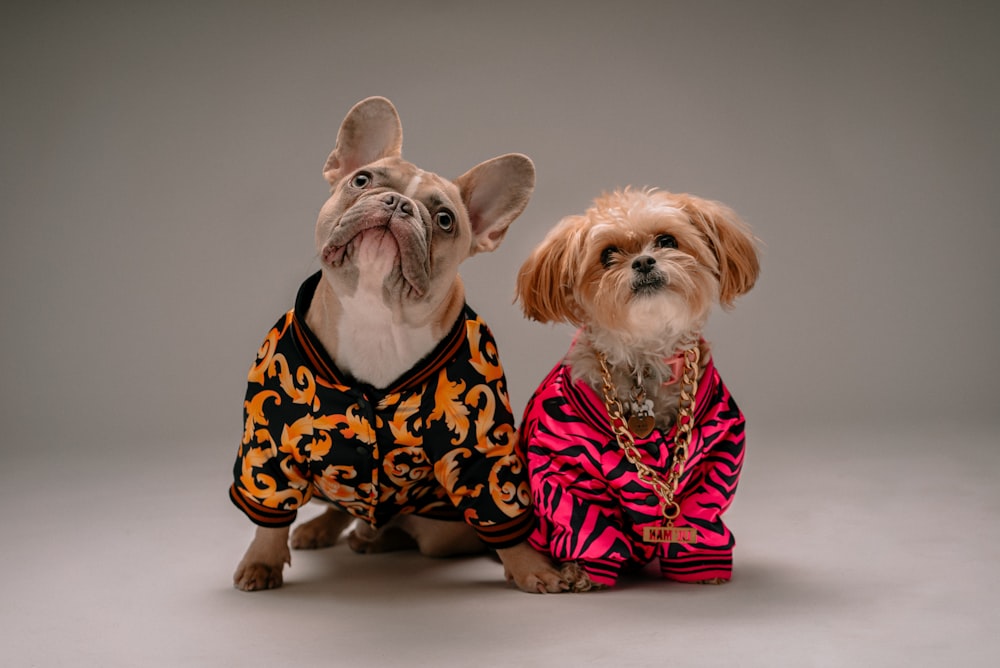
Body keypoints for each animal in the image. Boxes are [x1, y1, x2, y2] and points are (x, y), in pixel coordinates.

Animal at [229, 95, 568, 596]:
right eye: (362, 180)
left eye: (445, 220)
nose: (397, 203)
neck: (376, 313)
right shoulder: (268, 442)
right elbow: (268, 510)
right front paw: (261, 562)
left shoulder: (482, 453)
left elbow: (502, 510)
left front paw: (533, 568)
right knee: (338, 505)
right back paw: (323, 528)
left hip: (440, 530)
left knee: (408, 531)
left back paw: (372, 538)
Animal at [516, 187, 756, 588]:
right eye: (607, 254)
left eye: (667, 241)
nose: (643, 262)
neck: (644, 358)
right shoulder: (567, 468)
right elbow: (586, 526)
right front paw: (586, 571)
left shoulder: (715, 454)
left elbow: (698, 517)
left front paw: (705, 570)